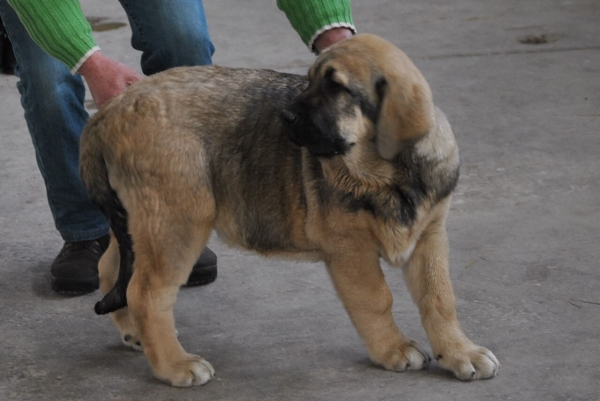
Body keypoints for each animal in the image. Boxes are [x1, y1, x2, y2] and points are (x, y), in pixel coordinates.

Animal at [81, 33, 502, 384]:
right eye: (311, 81)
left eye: (335, 87)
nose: (284, 116)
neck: (388, 175)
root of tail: (110, 110)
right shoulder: (350, 248)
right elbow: (376, 299)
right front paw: (393, 349)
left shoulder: (429, 235)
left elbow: (439, 298)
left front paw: (459, 352)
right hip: (178, 221)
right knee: (146, 292)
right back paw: (175, 365)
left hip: (143, 223)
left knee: (113, 268)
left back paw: (135, 333)